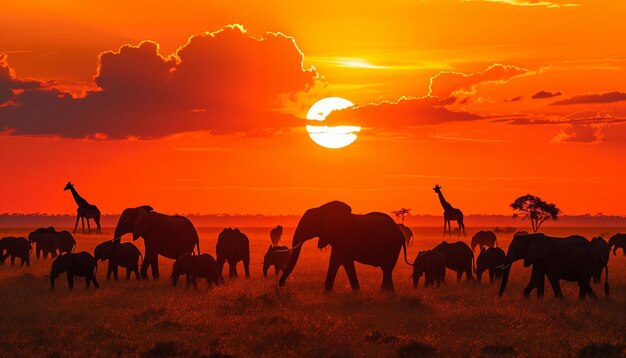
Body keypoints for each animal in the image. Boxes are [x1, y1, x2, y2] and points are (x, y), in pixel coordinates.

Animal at [276, 200, 404, 292]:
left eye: (308, 223)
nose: (283, 284)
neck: (322, 209)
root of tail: (400, 232)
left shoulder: (343, 238)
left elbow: (335, 260)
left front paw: (326, 292)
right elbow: (347, 263)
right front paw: (357, 291)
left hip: (392, 246)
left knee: (387, 268)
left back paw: (385, 294)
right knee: (387, 269)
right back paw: (387, 294)